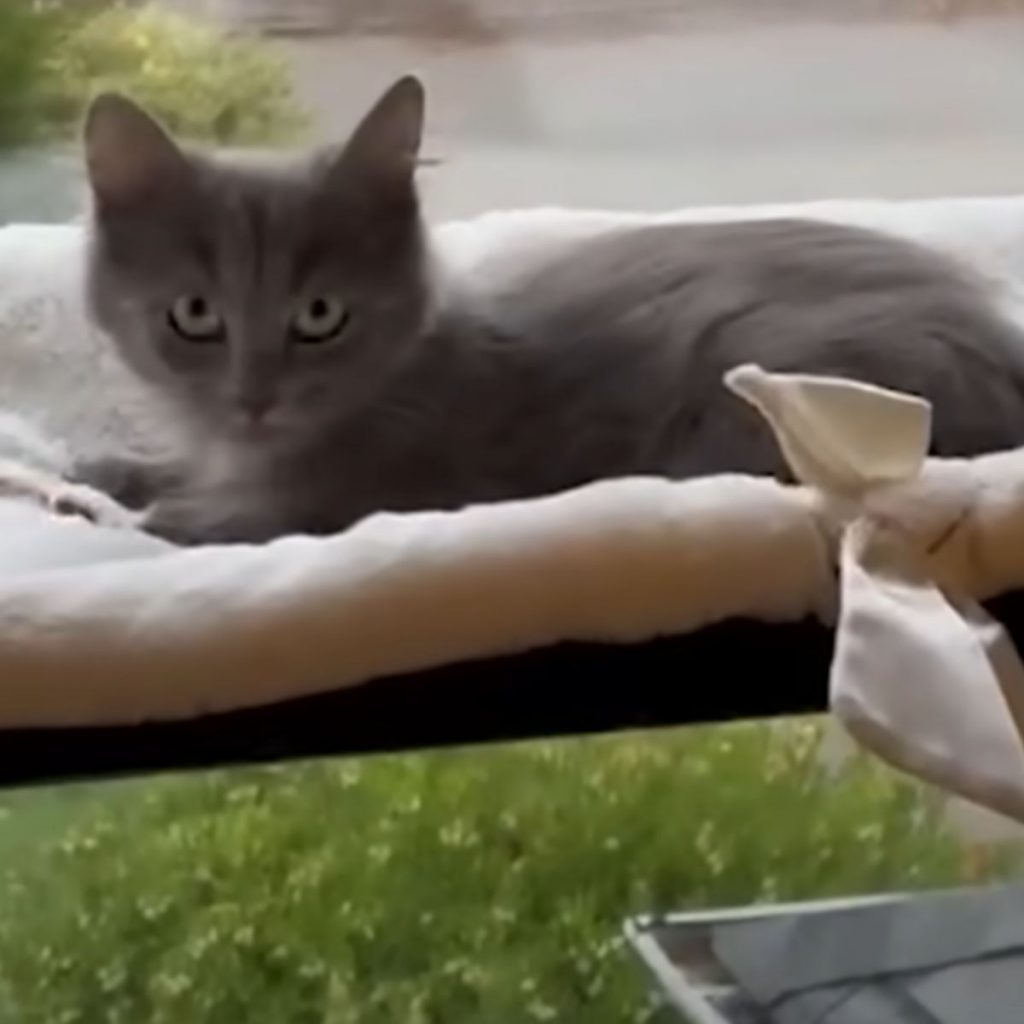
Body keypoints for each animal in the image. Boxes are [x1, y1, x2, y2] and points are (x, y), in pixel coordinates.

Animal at [81, 74, 1024, 544]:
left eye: (319, 315)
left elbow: (256, 516)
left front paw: (162, 512)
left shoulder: (404, 490)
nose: (254, 398)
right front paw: (115, 468)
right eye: (194, 313)